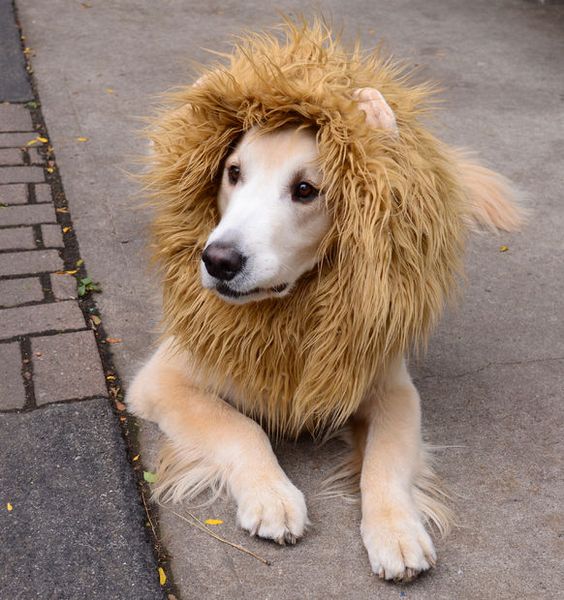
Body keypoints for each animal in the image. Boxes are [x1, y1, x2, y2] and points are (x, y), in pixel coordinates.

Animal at [125, 22, 524, 580]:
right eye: (233, 173)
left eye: (306, 190)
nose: (218, 260)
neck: (291, 311)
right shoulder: (163, 377)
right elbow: (239, 426)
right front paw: (272, 495)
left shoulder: (390, 383)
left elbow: (384, 461)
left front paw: (396, 531)